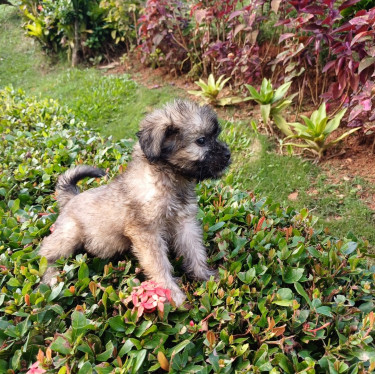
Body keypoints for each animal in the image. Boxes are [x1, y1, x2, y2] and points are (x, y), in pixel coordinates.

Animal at [39, 100, 232, 306]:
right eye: (201, 141)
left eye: (215, 136)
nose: (228, 154)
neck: (167, 179)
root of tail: (71, 197)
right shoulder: (146, 233)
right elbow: (159, 264)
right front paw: (172, 294)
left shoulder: (185, 223)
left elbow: (195, 250)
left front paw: (205, 276)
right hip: (70, 234)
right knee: (46, 251)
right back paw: (50, 276)